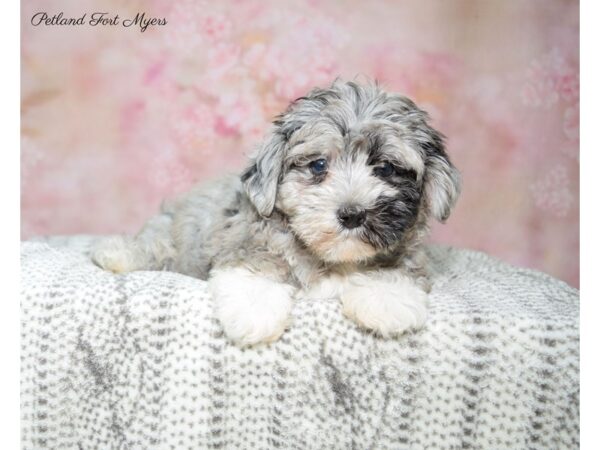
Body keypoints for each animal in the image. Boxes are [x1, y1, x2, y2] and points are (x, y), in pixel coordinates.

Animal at [92, 79, 460, 346]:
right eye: (318, 165)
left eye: (385, 168)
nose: (352, 215)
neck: (333, 258)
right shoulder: (248, 242)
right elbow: (256, 269)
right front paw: (254, 314)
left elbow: (397, 271)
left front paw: (387, 300)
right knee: (154, 247)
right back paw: (115, 254)